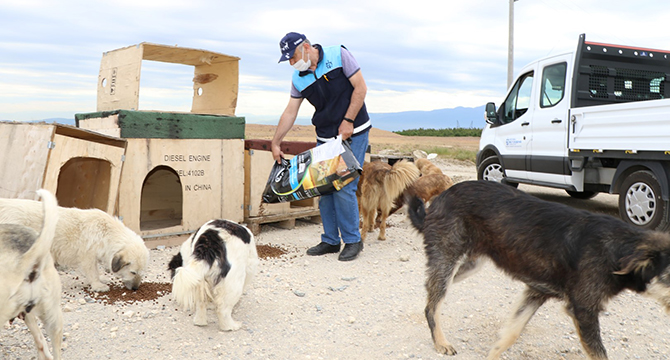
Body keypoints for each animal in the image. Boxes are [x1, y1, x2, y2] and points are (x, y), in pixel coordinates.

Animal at [0, 197, 148, 292]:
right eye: (133, 272)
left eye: (142, 273)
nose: (135, 289)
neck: (106, 232)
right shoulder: (88, 257)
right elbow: (93, 272)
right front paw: (98, 285)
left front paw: (101, 279)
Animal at [410, 180, 670, 360]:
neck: (619, 250)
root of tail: (440, 197)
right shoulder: (583, 311)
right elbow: (600, 354)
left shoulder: (536, 291)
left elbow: (511, 334)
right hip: (448, 259)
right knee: (433, 303)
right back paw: (441, 341)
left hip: (468, 265)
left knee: (428, 290)